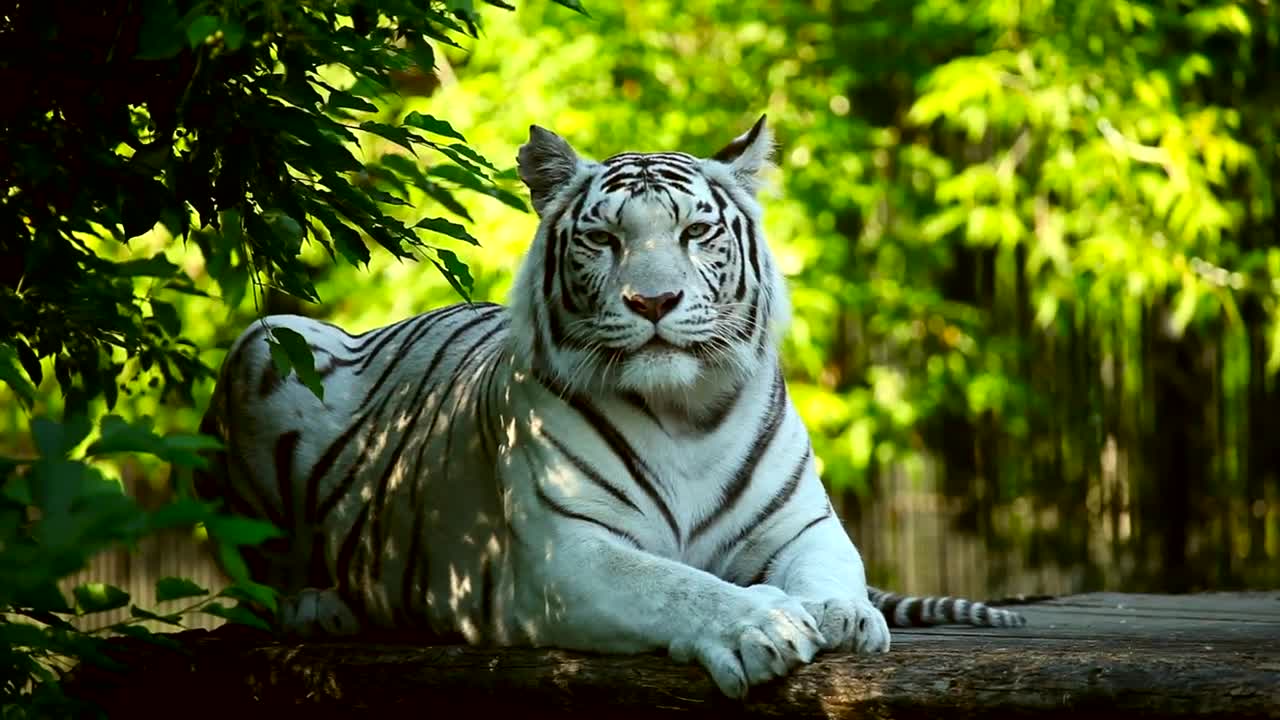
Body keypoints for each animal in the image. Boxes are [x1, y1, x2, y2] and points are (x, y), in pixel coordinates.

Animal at [194, 116, 1024, 696]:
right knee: (253, 575)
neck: (690, 413)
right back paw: (318, 607)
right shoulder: (564, 554)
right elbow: (675, 585)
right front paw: (758, 621)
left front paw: (841, 615)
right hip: (269, 344)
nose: (654, 301)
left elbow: (829, 570)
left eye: (696, 232)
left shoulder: (802, 525)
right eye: (602, 238)